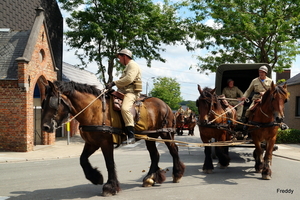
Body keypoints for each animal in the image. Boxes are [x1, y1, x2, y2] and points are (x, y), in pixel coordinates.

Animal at [40, 80, 185, 196]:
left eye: (53, 103)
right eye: (43, 102)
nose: (45, 127)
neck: (95, 110)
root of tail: (165, 105)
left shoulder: (106, 142)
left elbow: (109, 163)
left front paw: (110, 187)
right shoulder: (92, 143)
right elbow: (82, 159)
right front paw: (96, 177)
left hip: (166, 134)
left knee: (174, 150)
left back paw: (177, 174)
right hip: (150, 136)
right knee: (155, 155)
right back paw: (150, 178)